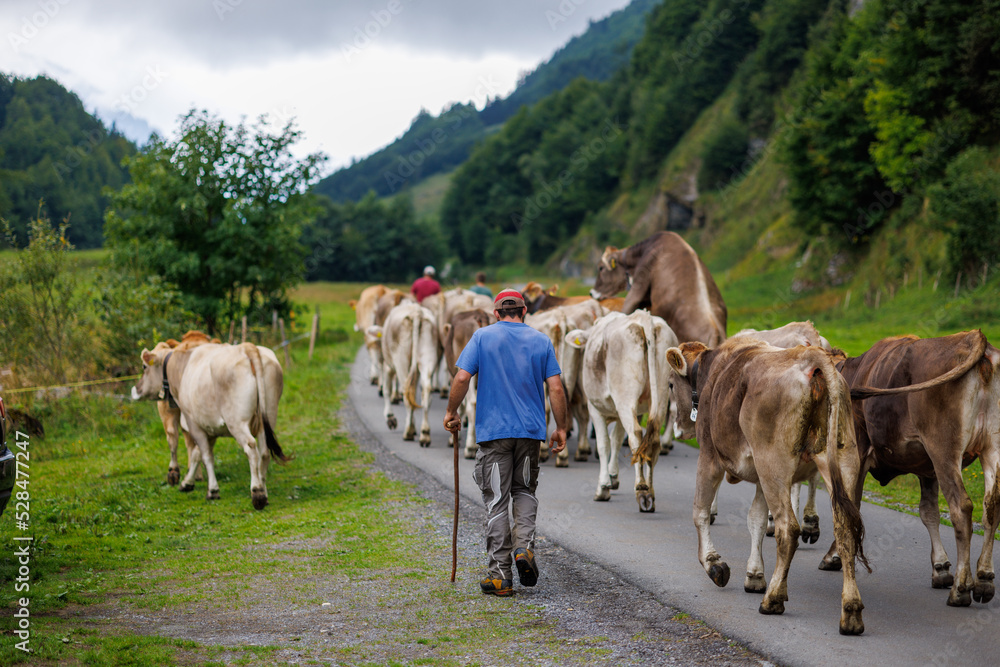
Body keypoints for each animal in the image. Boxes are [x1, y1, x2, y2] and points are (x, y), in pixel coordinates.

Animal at [132, 342, 289, 510]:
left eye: (144, 367)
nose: (136, 389)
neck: (182, 366)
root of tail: (247, 347)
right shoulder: (210, 427)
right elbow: (196, 454)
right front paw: (187, 483)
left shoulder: (193, 422)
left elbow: (206, 456)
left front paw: (212, 490)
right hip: (269, 415)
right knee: (264, 452)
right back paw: (264, 493)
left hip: (236, 421)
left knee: (251, 449)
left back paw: (257, 493)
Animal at [368, 303, 440, 446]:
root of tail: (416, 312)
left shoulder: (388, 366)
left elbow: (386, 390)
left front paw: (390, 418)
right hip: (428, 359)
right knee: (426, 392)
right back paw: (424, 434)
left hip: (401, 361)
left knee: (406, 393)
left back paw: (408, 431)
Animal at [565, 310, 678, 512]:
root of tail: (643, 318)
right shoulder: (622, 411)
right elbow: (616, 440)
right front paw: (613, 477)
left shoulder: (595, 409)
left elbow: (604, 444)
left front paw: (603, 487)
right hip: (659, 396)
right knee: (652, 440)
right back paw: (650, 492)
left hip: (626, 398)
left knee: (635, 436)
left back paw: (642, 489)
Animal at [665, 337, 869, 635]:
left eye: (670, 384)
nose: (679, 428)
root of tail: (810, 356)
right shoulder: (761, 479)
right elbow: (757, 521)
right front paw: (754, 575)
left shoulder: (710, 457)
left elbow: (700, 511)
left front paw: (714, 564)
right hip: (842, 462)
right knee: (845, 531)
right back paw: (851, 611)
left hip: (774, 465)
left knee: (788, 529)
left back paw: (773, 599)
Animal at [818, 330, 1000, 608]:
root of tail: (973, 337)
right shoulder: (926, 469)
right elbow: (928, 511)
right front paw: (940, 568)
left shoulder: (857, 452)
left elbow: (850, 506)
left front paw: (833, 556)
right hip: (991, 447)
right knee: (991, 505)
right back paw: (984, 580)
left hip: (944, 449)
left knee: (961, 507)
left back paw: (961, 588)